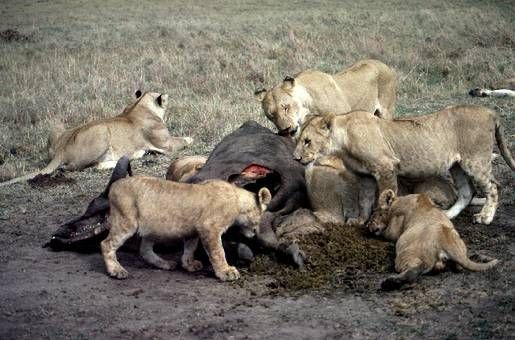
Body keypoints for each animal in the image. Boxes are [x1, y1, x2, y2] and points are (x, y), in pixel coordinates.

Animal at [0, 90, 194, 186]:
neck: (140, 105)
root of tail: (61, 150)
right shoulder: (167, 145)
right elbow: (184, 140)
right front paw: (191, 139)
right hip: (101, 132)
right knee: (87, 167)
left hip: (58, 126)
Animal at [100, 178, 270, 282]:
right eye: (261, 216)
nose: (255, 234)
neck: (237, 201)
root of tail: (113, 186)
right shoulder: (210, 227)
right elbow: (218, 252)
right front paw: (226, 272)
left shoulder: (194, 231)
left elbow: (190, 248)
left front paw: (188, 265)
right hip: (126, 222)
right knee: (106, 244)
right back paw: (116, 270)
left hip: (150, 228)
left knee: (145, 250)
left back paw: (165, 264)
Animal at [256, 59, 398, 137]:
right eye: (270, 116)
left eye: (285, 107)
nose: (286, 130)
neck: (307, 108)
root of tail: (382, 63)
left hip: (386, 111)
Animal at [294, 105, 515, 224]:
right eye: (297, 139)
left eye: (307, 141)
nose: (296, 158)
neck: (343, 140)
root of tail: (489, 111)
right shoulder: (365, 176)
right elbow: (364, 200)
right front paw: (360, 220)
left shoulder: (386, 167)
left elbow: (384, 198)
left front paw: (380, 221)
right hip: (457, 166)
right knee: (467, 191)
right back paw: (448, 215)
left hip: (475, 161)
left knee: (493, 187)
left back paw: (485, 217)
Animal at [368, 190, 498, 290]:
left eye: (374, 213)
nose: (368, 226)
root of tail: (447, 241)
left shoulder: (394, 229)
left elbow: (386, 233)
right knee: (460, 265)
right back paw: (481, 257)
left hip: (406, 254)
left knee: (415, 269)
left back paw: (390, 283)